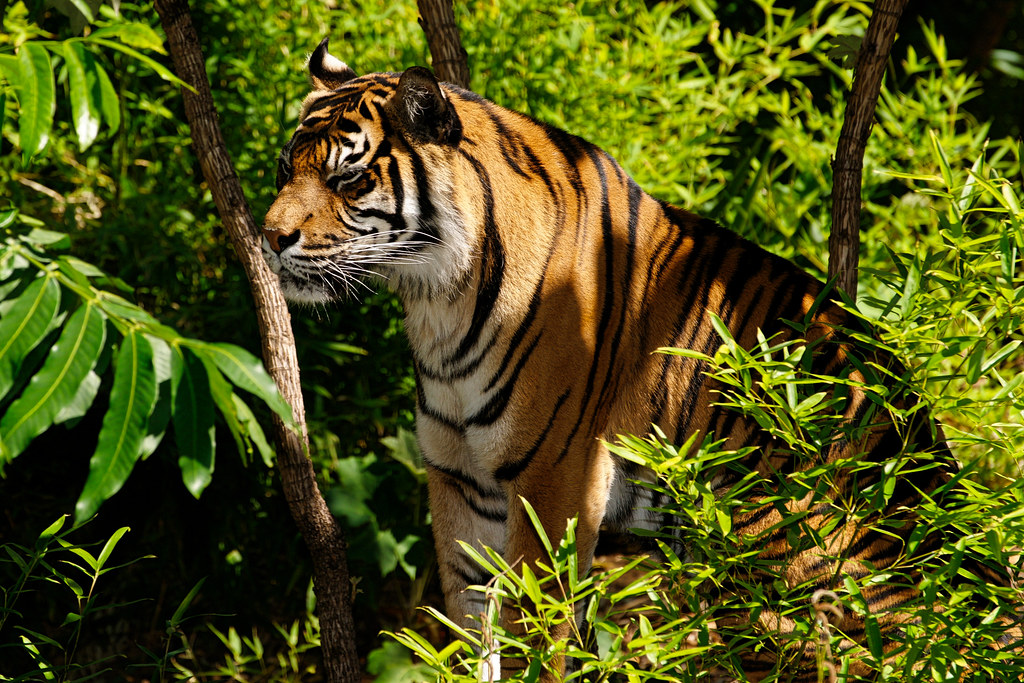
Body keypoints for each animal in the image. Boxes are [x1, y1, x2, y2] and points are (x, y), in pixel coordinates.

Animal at [262, 38, 1014, 680]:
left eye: (350, 178)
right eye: (284, 169)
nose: (269, 238)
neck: (437, 299)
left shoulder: (553, 476)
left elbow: (537, 628)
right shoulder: (458, 477)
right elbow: (469, 626)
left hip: (771, 566)